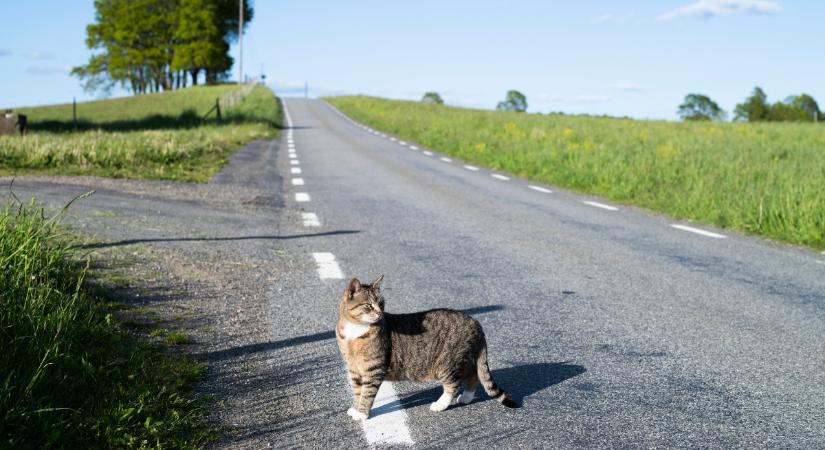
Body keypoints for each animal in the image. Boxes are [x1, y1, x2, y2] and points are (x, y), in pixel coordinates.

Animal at [334, 276, 516, 420]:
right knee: (472, 375)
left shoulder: (373, 369)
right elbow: (358, 391)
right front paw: (356, 408)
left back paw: (440, 404)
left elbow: (367, 393)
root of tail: (474, 321)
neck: (355, 329)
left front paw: (362, 413)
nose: (380, 313)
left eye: (381, 304)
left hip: (446, 363)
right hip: (459, 360)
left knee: (454, 385)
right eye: (369, 305)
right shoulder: (354, 369)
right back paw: (466, 397)